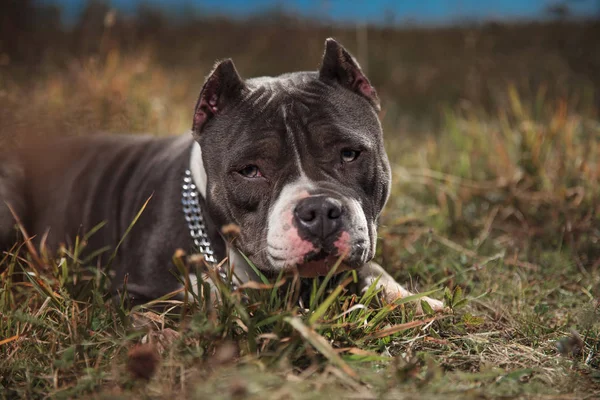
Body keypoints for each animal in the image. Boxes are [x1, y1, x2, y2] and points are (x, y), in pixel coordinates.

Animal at [0, 38, 440, 310]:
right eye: (249, 171)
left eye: (350, 154)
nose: (318, 212)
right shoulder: (138, 296)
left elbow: (373, 270)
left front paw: (409, 298)